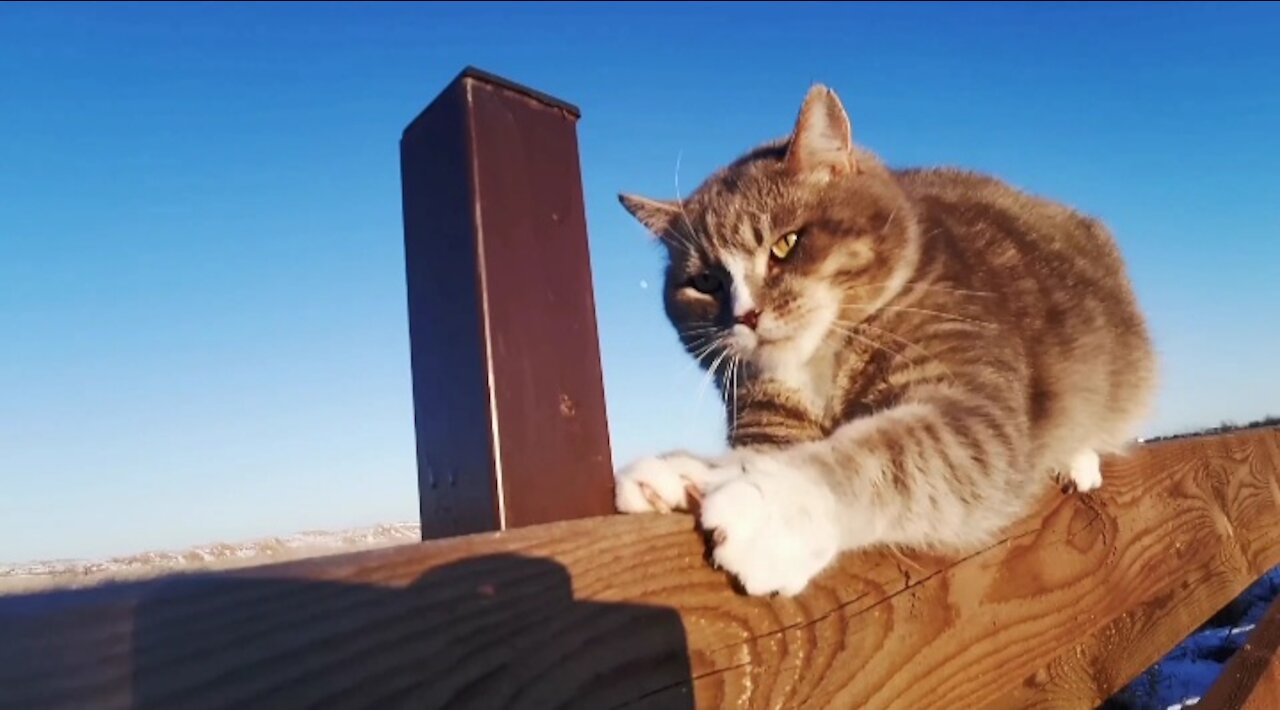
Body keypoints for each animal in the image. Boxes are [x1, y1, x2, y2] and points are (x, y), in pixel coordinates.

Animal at [609, 83, 1162, 596]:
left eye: (786, 244)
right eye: (706, 281)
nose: (745, 315)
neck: (818, 363)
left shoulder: (973, 405)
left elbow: (893, 456)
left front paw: (771, 510)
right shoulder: (768, 415)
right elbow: (762, 452)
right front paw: (683, 474)